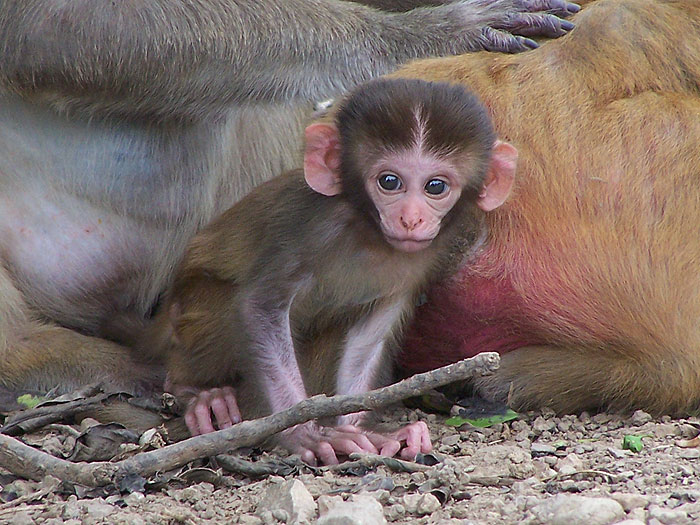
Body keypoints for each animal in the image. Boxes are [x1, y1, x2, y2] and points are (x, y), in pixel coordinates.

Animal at [148, 78, 516, 462]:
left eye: (435, 186)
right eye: (389, 181)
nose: (411, 218)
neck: (370, 235)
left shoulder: (424, 259)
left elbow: (371, 333)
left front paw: (362, 430)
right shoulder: (312, 230)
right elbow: (261, 306)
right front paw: (304, 433)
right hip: (189, 312)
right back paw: (197, 391)